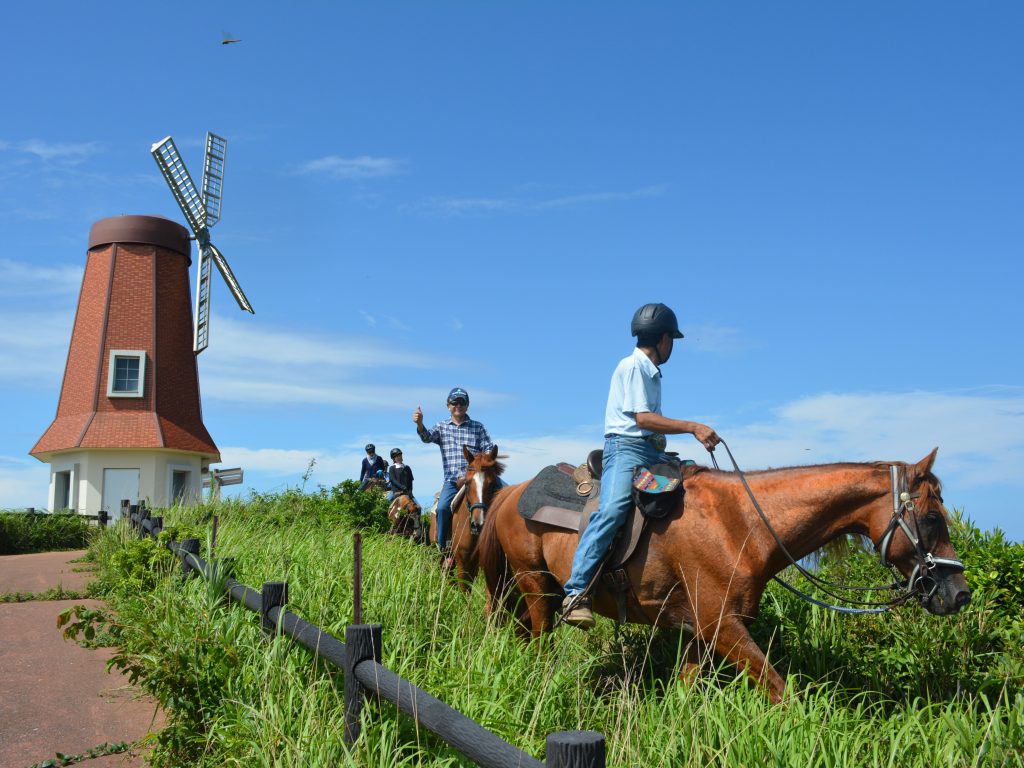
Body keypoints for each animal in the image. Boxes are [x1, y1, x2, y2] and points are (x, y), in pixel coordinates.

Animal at [477, 448, 966, 708]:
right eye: (932, 518)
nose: (959, 594)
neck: (744, 524)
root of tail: (511, 494)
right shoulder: (723, 627)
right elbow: (780, 691)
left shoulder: (703, 633)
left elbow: (685, 691)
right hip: (536, 587)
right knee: (539, 640)